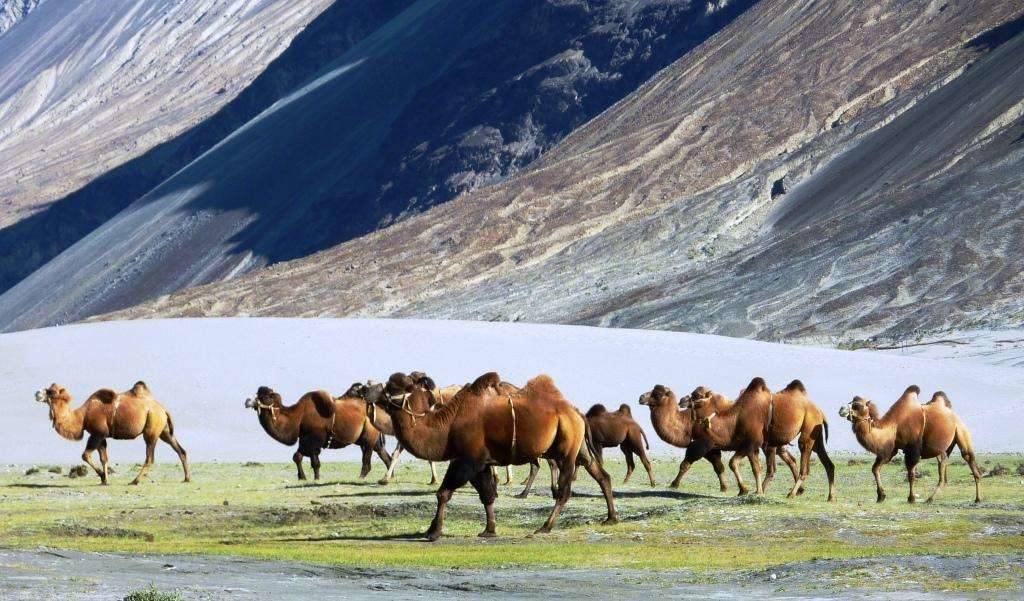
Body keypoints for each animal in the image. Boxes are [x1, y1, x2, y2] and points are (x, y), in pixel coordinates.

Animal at [34, 382, 191, 487]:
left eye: (51, 391)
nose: (37, 393)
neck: (82, 416)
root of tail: (163, 409)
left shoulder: (97, 434)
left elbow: (86, 455)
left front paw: (103, 476)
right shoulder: (101, 436)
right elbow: (104, 458)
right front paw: (105, 480)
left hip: (151, 430)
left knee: (150, 457)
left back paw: (135, 481)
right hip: (164, 430)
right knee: (180, 450)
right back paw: (187, 478)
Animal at [243, 387, 391, 481]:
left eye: (265, 396)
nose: (247, 401)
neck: (298, 416)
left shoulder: (314, 440)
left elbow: (315, 462)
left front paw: (316, 478)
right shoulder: (304, 439)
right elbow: (297, 456)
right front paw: (302, 477)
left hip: (368, 435)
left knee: (367, 457)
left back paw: (361, 477)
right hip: (372, 438)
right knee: (384, 454)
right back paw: (389, 476)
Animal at [679, 380, 831, 503]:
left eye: (697, 395)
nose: (681, 400)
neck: (736, 419)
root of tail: (820, 410)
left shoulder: (752, 443)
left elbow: (744, 466)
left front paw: (752, 491)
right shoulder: (751, 446)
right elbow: (750, 467)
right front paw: (749, 490)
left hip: (808, 428)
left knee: (802, 459)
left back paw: (792, 493)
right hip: (814, 436)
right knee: (825, 462)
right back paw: (829, 496)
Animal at [839, 384, 983, 503]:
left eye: (858, 405)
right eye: (850, 402)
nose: (841, 409)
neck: (894, 425)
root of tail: (953, 415)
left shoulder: (913, 448)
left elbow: (911, 474)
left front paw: (911, 498)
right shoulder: (891, 449)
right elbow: (875, 468)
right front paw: (881, 496)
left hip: (961, 431)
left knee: (968, 458)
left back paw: (977, 498)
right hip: (944, 448)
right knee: (943, 467)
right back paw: (933, 498)